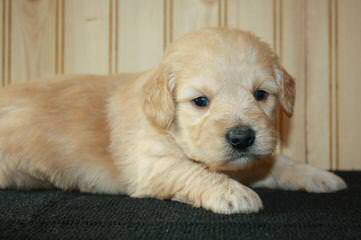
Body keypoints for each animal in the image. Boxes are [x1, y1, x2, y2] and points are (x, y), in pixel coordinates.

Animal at [0, 28, 344, 214]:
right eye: (200, 101)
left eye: (261, 94)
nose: (242, 138)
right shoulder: (154, 166)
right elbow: (192, 172)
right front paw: (234, 193)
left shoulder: (249, 160)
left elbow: (277, 163)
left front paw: (319, 176)